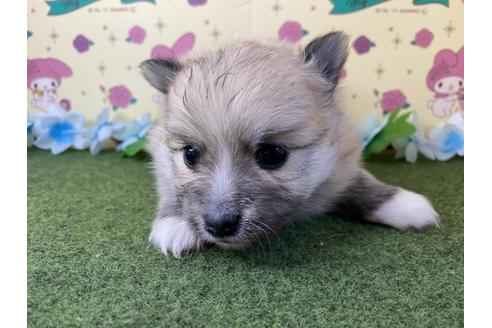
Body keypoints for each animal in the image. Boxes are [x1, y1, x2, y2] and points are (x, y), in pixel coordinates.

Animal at [139, 32, 438, 258]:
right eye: (190, 155)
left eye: (272, 154)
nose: (218, 224)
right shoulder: (162, 161)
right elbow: (171, 190)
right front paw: (175, 222)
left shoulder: (340, 164)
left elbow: (360, 182)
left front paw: (402, 203)